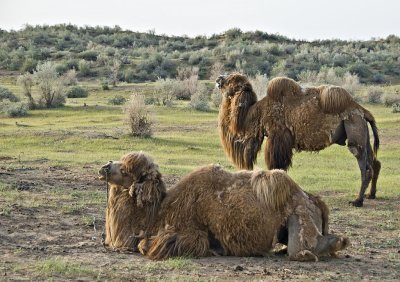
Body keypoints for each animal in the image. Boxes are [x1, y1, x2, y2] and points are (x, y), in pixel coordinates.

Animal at [216, 73, 382, 207]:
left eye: (231, 81)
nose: (219, 78)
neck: (256, 113)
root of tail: (363, 110)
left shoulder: (277, 136)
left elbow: (276, 166)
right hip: (362, 131)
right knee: (374, 162)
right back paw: (371, 195)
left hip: (354, 126)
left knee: (365, 166)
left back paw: (358, 201)